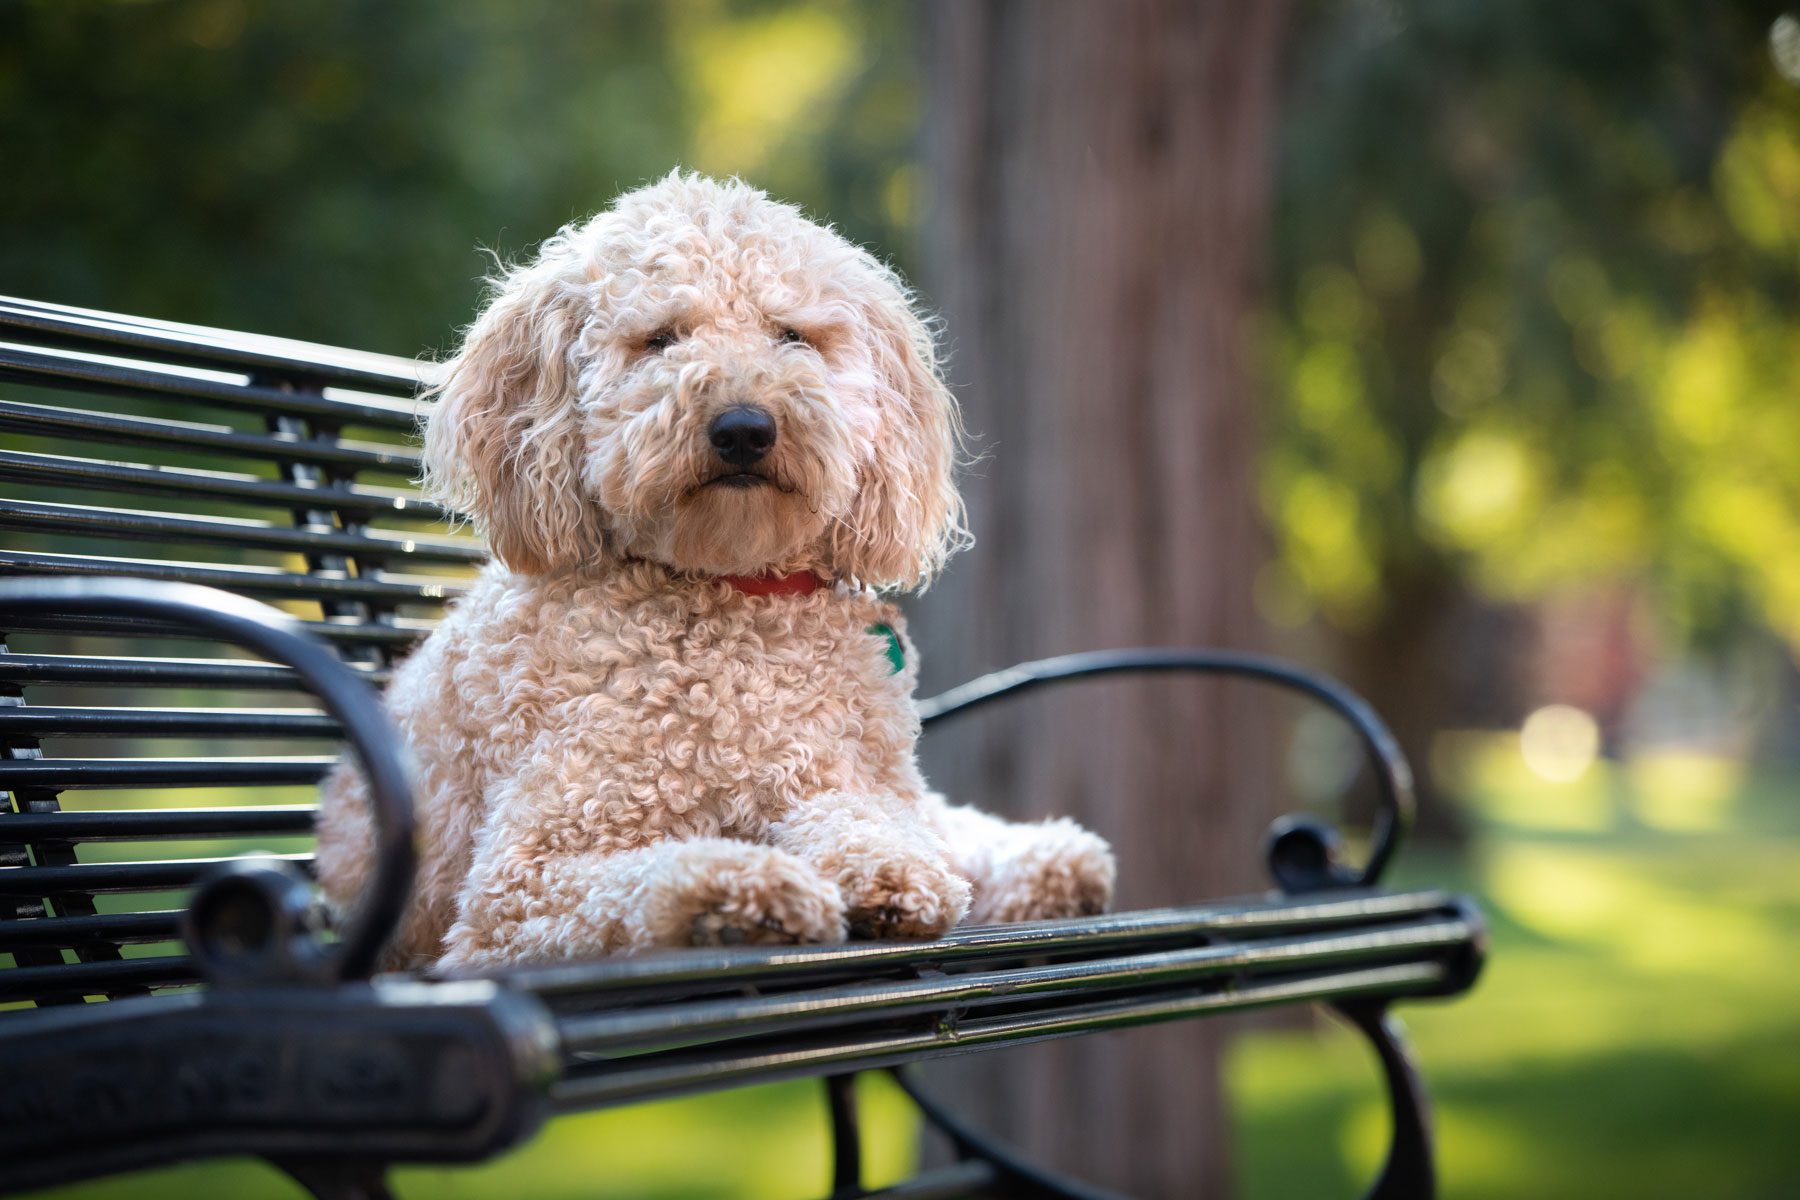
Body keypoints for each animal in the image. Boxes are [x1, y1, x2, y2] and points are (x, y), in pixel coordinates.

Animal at [316, 170, 1116, 978]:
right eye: (661, 339)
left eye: (791, 335)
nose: (744, 427)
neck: (735, 600)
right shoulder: (518, 884)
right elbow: (649, 873)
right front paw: (749, 889)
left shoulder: (840, 774)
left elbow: (869, 818)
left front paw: (884, 871)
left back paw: (1051, 862)